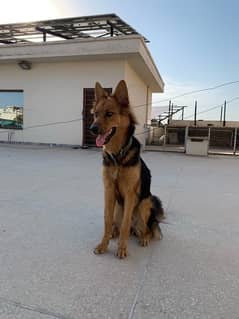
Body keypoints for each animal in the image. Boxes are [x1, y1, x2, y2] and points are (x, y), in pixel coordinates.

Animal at [89, 80, 164, 260]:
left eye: (109, 114)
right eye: (96, 114)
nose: (92, 129)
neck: (118, 156)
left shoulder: (131, 194)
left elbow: (125, 224)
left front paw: (122, 248)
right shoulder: (108, 190)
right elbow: (107, 220)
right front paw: (104, 244)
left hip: (145, 203)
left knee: (146, 229)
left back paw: (144, 238)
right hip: (118, 205)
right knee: (119, 225)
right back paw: (113, 233)